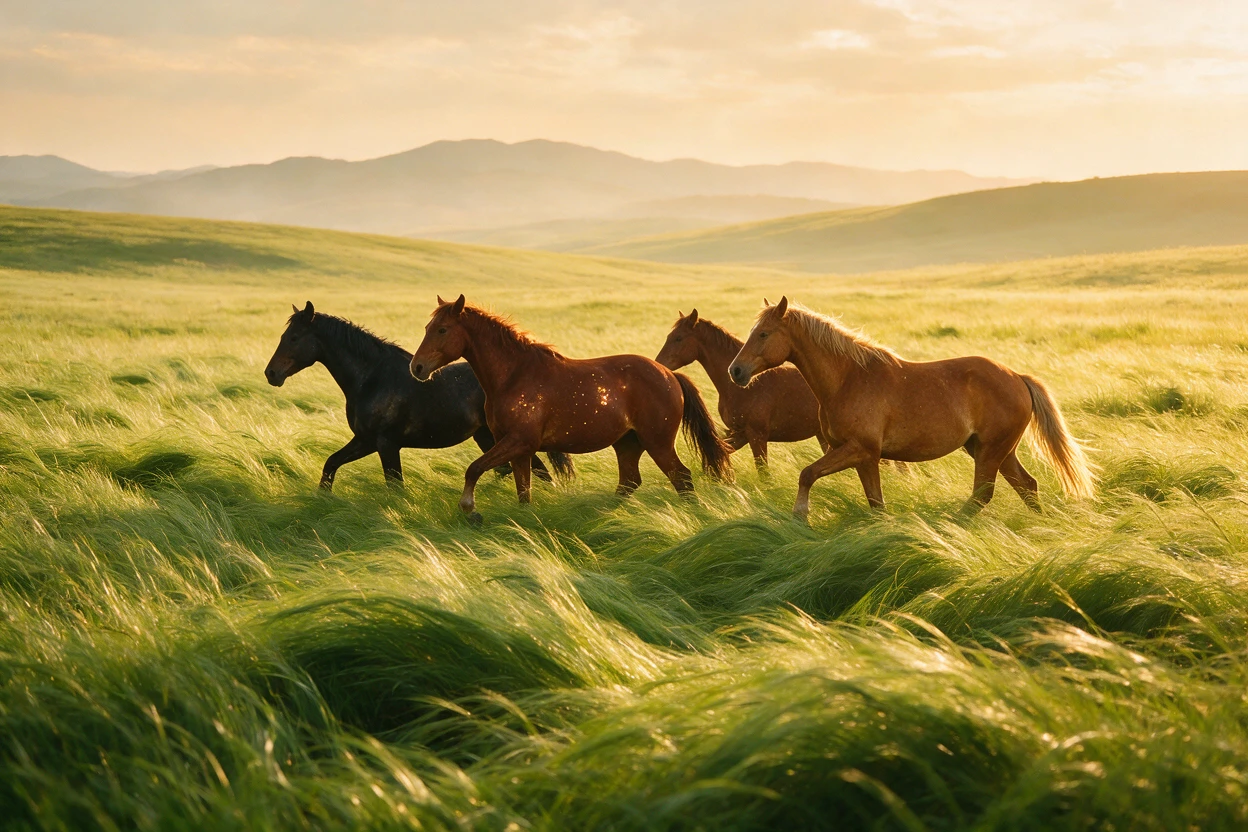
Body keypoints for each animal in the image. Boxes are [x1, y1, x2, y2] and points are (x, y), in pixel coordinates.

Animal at [264, 302, 572, 490]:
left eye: (293, 338)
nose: (271, 373)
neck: (371, 378)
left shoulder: (386, 444)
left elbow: (395, 486)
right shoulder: (365, 440)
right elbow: (330, 464)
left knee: (539, 471)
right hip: (487, 437)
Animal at [409, 295, 733, 523]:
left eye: (442, 329)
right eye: (426, 328)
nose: (417, 367)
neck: (514, 375)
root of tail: (669, 375)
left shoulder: (518, 442)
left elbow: (474, 469)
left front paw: (471, 509)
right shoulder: (518, 449)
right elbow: (523, 492)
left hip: (658, 443)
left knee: (682, 478)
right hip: (627, 444)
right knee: (629, 482)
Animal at [727, 297, 1095, 520]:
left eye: (763, 334)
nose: (736, 371)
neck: (848, 379)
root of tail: (1017, 377)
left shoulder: (859, 450)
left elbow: (807, 474)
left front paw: (800, 516)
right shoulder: (862, 457)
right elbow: (875, 503)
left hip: (991, 451)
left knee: (983, 495)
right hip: (991, 450)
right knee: (1027, 486)